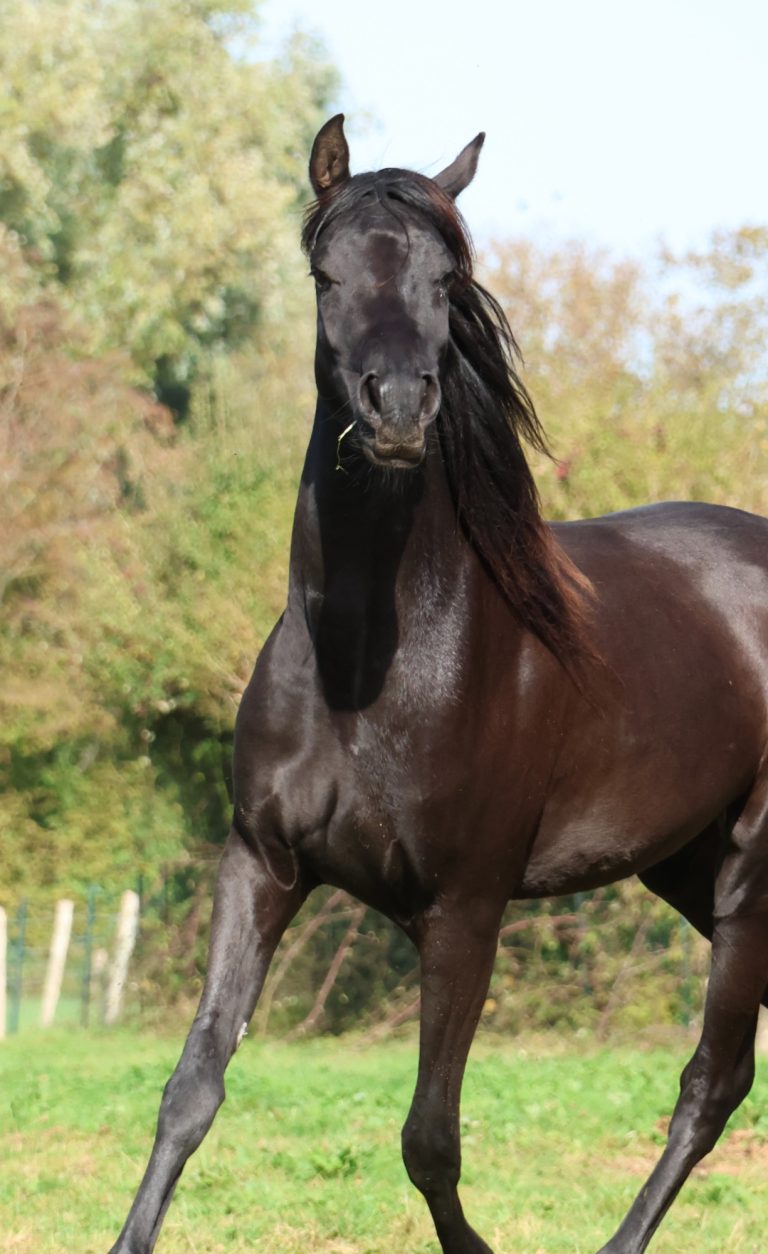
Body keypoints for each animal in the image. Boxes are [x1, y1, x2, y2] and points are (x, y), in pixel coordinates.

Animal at [110, 114, 768, 1254]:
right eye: (325, 274)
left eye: (446, 276)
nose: (399, 411)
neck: (368, 663)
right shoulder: (261, 866)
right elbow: (192, 1087)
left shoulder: (464, 910)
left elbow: (429, 1138)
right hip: (687, 866)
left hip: (746, 882)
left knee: (711, 1084)